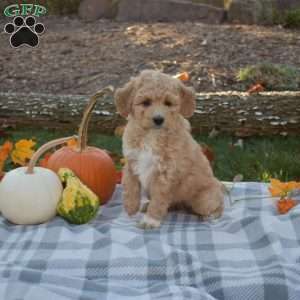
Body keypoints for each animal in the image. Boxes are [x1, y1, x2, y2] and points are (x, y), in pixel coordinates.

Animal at [114, 71, 223, 230]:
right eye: (146, 102)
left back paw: (211, 215)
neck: (152, 135)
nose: (158, 119)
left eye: (168, 103)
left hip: (204, 199)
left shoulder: (165, 174)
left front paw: (151, 220)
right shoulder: (131, 162)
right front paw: (131, 207)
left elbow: (159, 199)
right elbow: (130, 187)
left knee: (217, 205)